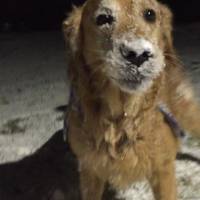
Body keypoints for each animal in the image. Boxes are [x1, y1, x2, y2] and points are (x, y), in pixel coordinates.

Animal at [62, 0, 200, 199]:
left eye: (150, 14)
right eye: (103, 18)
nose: (139, 53)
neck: (121, 120)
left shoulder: (163, 169)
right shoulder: (90, 170)